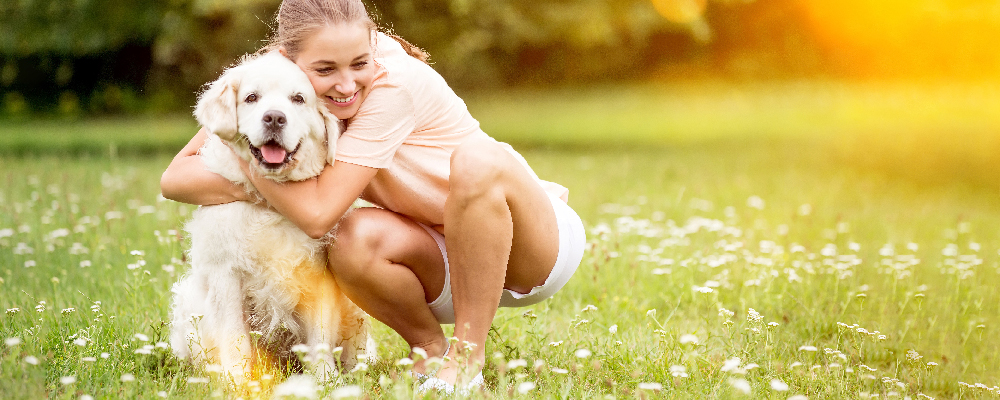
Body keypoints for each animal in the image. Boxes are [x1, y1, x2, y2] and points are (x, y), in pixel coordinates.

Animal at [172, 51, 376, 382]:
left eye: (298, 99)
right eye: (251, 97)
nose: (275, 118)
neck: (275, 204)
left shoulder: (318, 277)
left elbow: (320, 336)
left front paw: (324, 380)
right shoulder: (226, 275)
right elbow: (235, 336)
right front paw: (239, 381)